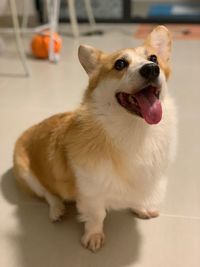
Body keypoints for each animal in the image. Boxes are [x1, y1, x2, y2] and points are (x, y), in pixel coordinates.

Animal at [13, 26, 177, 252]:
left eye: (153, 58)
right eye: (120, 64)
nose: (151, 69)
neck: (134, 130)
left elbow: (137, 196)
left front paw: (142, 208)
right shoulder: (90, 193)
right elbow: (97, 215)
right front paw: (93, 236)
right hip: (26, 173)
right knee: (48, 194)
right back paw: (57, 209)